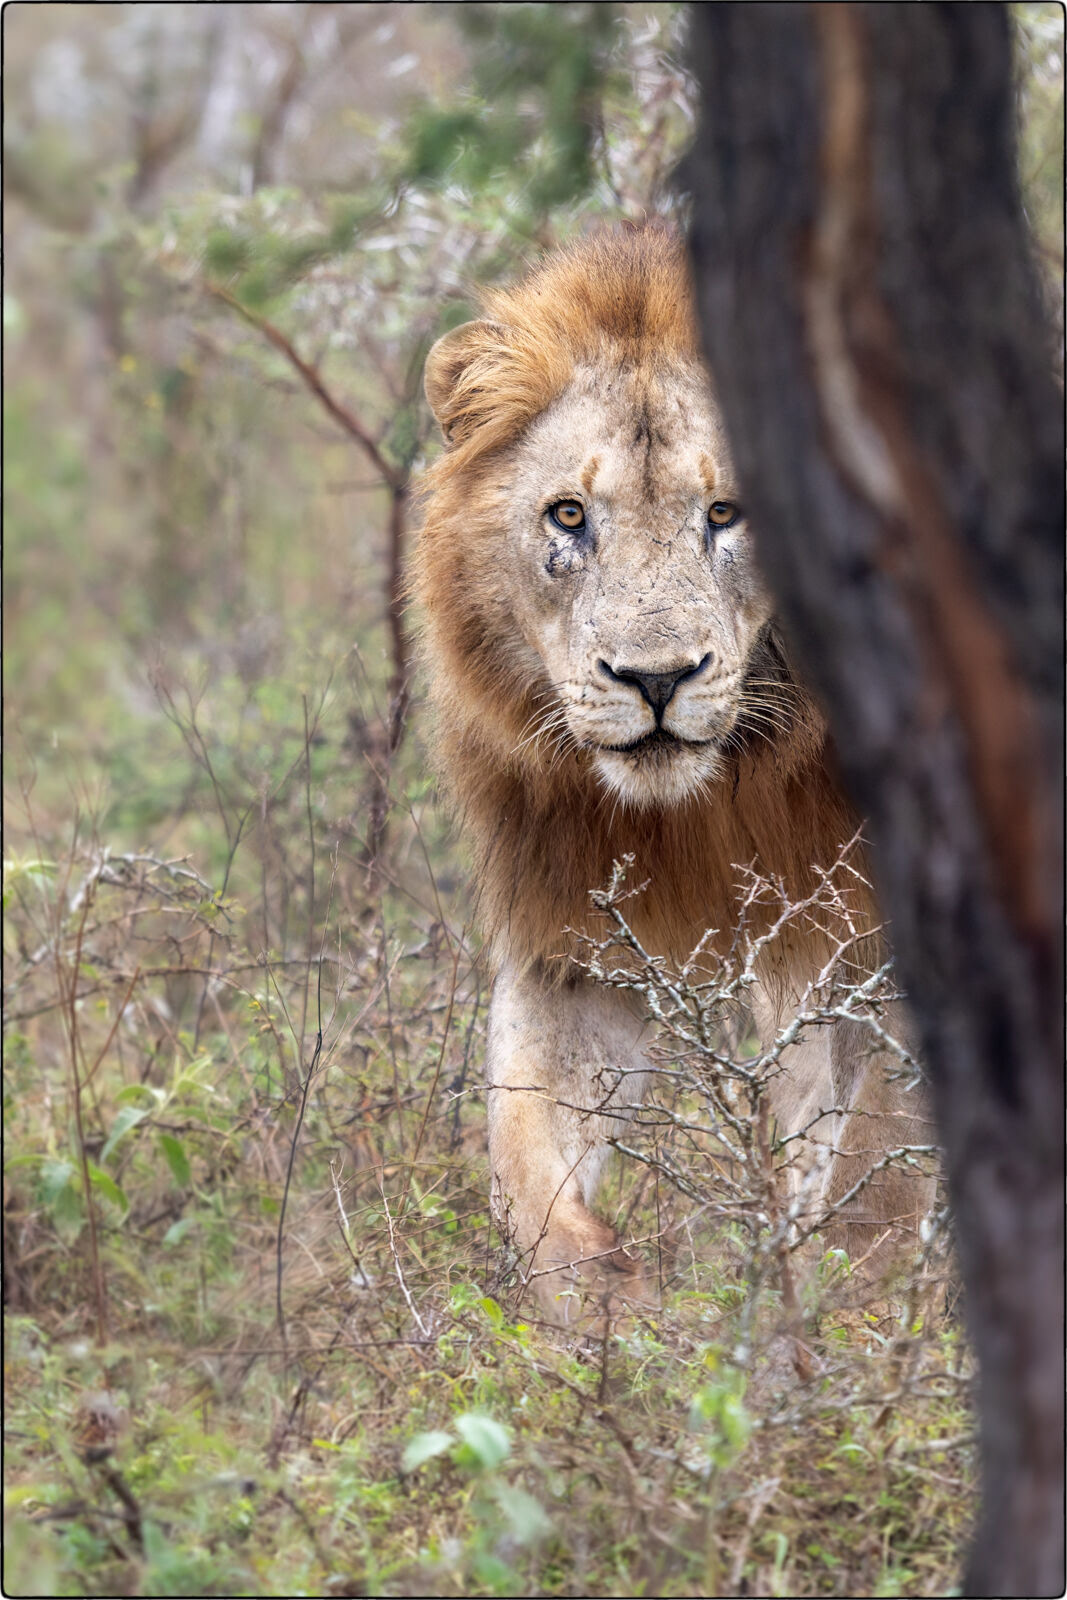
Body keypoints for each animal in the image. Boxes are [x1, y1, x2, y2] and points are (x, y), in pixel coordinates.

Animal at [415, 222, 934, 1323]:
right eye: (569, 516)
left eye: (726, 511)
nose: (654, 678)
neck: (719, 796)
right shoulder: (570, 938)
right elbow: (521, 1151)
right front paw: (607, 1310)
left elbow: (875, 1167)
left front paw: (839, 1325)